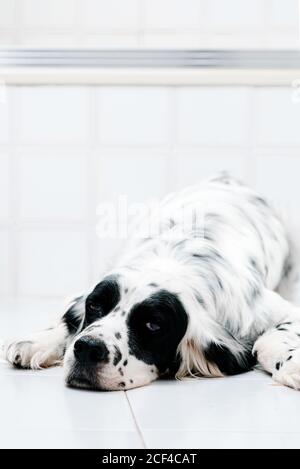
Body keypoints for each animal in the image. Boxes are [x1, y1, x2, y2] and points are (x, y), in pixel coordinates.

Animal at [3, 173, 300, 392]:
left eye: (153, 325)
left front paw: (293, 364)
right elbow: (69, 319)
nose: (87, 349)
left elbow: (269, 339)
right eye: (95, 306)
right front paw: (38, 341)